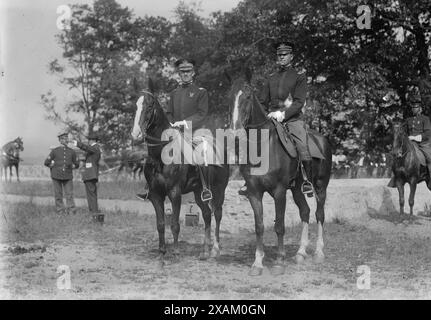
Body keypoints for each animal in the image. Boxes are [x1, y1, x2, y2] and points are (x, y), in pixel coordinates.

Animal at [132, 79, 231, 264]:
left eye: (149, 106)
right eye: (136, 105)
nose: (136, 135)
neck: (161, 155)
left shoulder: (174, 193)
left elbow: (174, 224)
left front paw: (176, 252)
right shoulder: (156, 195)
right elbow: (161, 224)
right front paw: (162, 251)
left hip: (219, 190)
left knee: (217, 214)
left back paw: (215, 250)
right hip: (199, 192)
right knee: (207, 214)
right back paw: (204, 251)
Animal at [231, 74, 332, 276]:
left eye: (247, 97)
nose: (236, 133)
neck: (263, 147)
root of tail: (322, 139)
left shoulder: (279, 192)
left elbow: (279, 226)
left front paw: (279, 261)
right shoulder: (254, 192)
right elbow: (259, 226)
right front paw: (257, 263)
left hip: (320, 187)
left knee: (319, 214)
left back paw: (318, 253)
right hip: (297, 189)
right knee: (305, 212)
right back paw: (300, 253)